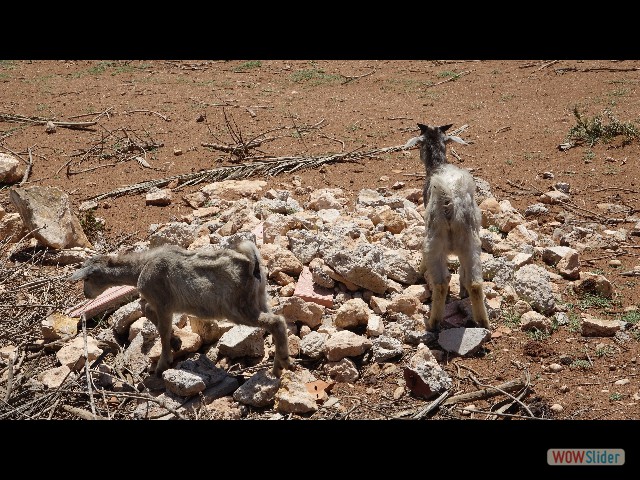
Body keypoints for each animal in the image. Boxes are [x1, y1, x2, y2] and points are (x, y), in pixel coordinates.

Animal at [68, 240, 293, 378]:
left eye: (87, 279)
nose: (86, 294)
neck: (141, 267)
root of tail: (252, 264)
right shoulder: (160, 303)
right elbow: (147, 310)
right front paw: (176, 341)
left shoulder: (163, 303)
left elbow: (162, 329)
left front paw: (163, 364)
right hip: (259, 299)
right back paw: (279, 365)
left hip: (239, 308)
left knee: (277, 322)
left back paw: (279, 367)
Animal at [404, 123, 490, 331]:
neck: (438, 165)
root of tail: (450, 198)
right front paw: (462, 290)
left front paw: (420, 270)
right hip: (470, 240)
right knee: (475, 282)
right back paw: (482, 321)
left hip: (434, 239)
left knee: (441, 284)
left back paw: (433, 323)